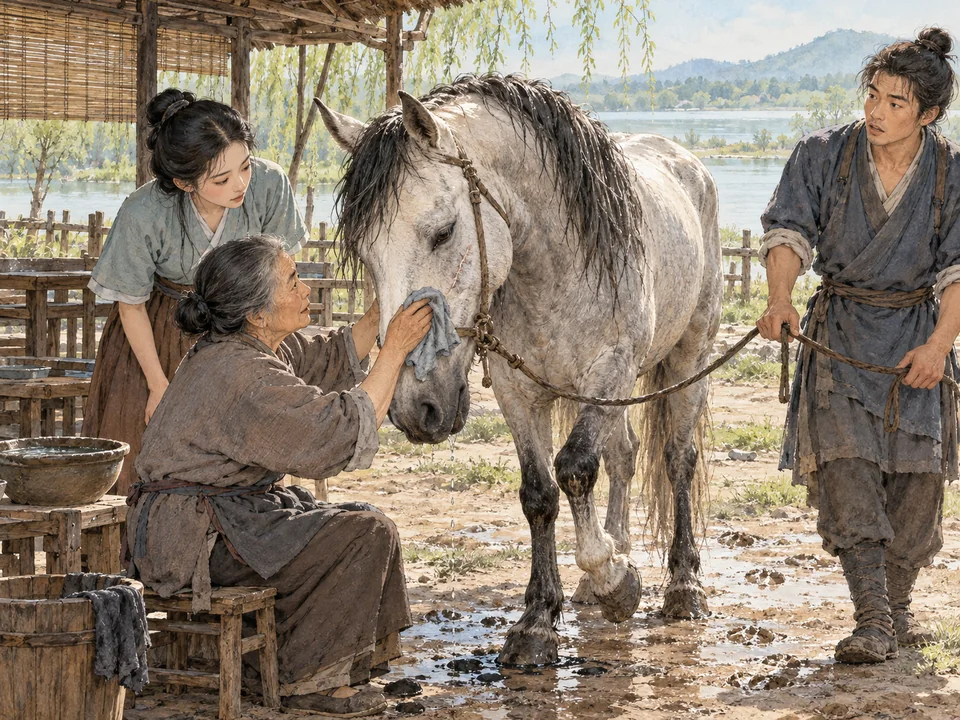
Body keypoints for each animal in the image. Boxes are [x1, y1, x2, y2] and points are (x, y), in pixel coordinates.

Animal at [316, 74, 723, 666]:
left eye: (443, 232)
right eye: (366, 253)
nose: (417, 409)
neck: (556, 266)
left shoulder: (610, 373)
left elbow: (574, 469)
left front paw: (615, 579)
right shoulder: (520, 391)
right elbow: (539, 495)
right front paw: (540, 619)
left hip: (688, 357)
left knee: (677, 459)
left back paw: (682, 585)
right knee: (624, 457)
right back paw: (610, 562)